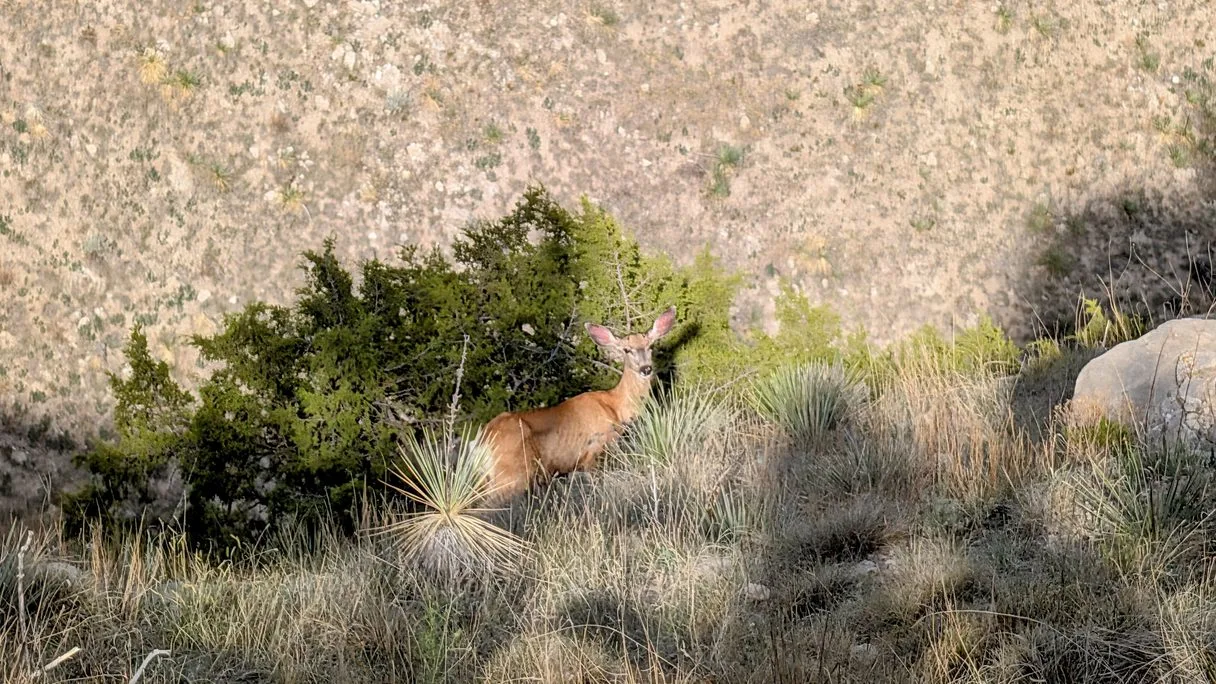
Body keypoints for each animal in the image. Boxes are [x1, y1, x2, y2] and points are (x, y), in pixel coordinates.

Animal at [478, 306, 677, 502]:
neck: (616, 407)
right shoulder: (594, 452)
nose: (646, 369)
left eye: (650, 346)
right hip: (511, 474)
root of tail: (482, 442)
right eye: (627, 350)